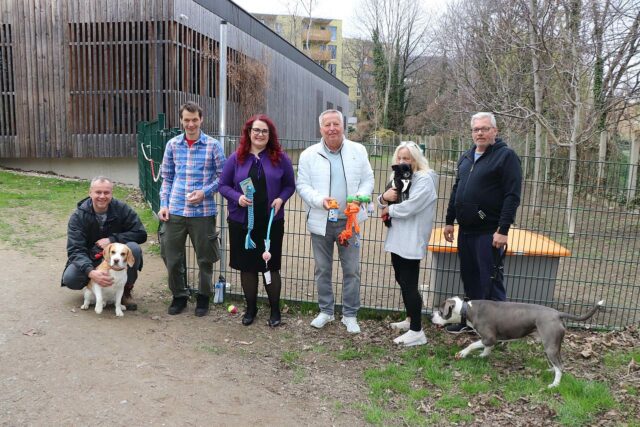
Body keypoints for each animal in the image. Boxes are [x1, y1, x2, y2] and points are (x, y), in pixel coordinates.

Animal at [430, 298, 604, 388]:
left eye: (440, 311)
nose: (431, 316)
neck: (466, 309)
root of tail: (557, 314)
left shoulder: (489, 337)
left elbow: (473, 344)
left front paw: (463, 353)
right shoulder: (490, 340)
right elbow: (487, 349)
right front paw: (483, 356)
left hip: (550, 345)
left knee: (560, 366)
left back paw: (554, 384)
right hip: (552, 345)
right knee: (558, 363)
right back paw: (550, 371)